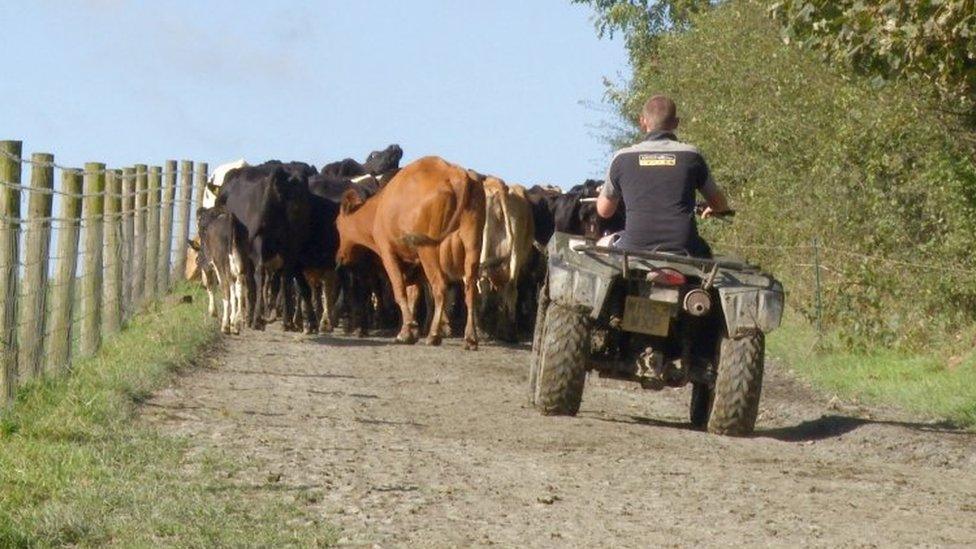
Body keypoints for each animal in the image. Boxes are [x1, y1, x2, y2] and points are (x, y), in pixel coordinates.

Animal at [338, 156, 486, 348]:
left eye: (338, 227)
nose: (340, 256)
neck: (379, 209)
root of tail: (457, 175)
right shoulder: (415, 264)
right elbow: (413, 295)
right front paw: (412, 330)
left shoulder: (389, 254)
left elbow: (400, 291)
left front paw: (406, 331)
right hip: (472, 246)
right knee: (470, 290)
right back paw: (470, 338)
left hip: (428, 250)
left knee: (440, 287)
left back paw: (434, 335)